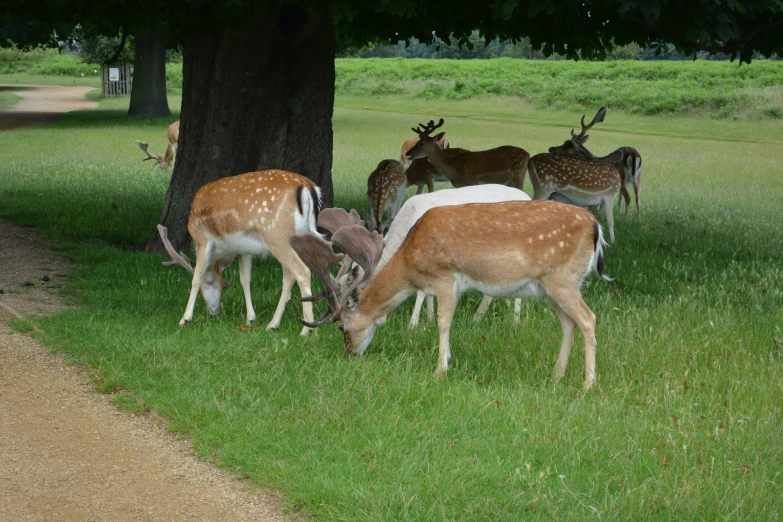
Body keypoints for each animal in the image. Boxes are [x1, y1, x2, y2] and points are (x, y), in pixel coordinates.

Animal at [158, 169, 322, 336]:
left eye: (211, 283)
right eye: (224, 283)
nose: (214, 312)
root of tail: (307, 186)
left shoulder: (202, 240)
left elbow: (196, 278)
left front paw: (185, 319)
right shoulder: (244, 250)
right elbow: (245, 279)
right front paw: (250, 319)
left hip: (277, 235)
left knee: (302, 271)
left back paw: (306, 330)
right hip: (296, 237)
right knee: (289, 276)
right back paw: (273, 324)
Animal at [290, 199, 608, 390]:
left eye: (341, 326)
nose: (350, 354)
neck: (412, 263)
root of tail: (596, 226)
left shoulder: (445, 275)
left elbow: (443, 322)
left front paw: (440, 369)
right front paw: (448, 360)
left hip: (563, 279)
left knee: (589, 319)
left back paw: (588, 384)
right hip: (550, 287)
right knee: (568, 324)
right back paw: (557, 375)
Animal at [528, 108, 624, 243]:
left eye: (569, 146)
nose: (551, 148)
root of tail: (530, 161)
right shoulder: (609, 194)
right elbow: (610, 221)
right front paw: (613, 242)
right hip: (543, 187)